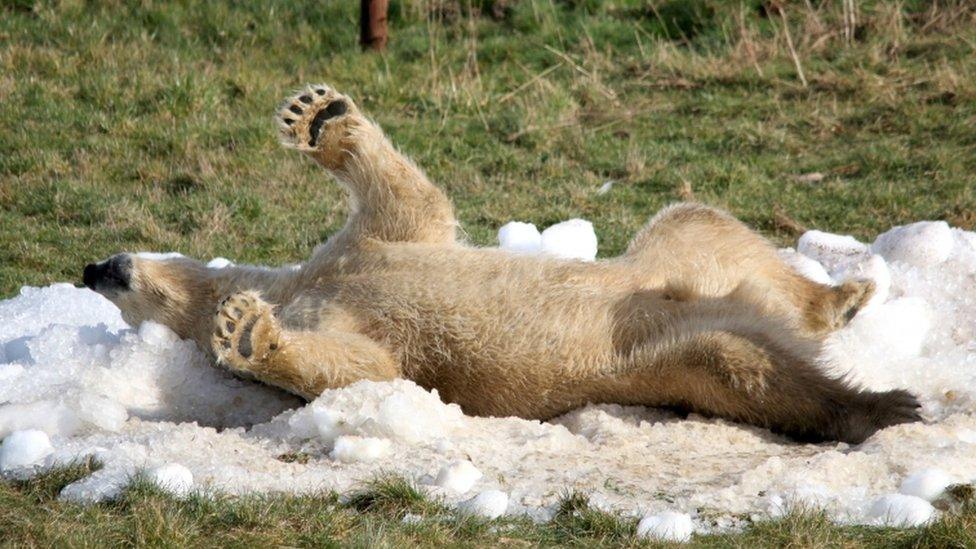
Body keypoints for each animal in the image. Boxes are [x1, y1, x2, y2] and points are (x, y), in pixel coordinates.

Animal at [80, 82, 920, 440]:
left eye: (113, 284)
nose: (95, 267)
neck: (297, 283)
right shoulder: (346, 305)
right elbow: (369, 368)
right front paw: (248, 333)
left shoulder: (363, 248)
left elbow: (410, 200)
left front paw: (318, 116)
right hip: (655, 354)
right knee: (737, 362)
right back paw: (875, 403)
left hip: (667, 271)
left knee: (695, 224)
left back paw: (844, 296)